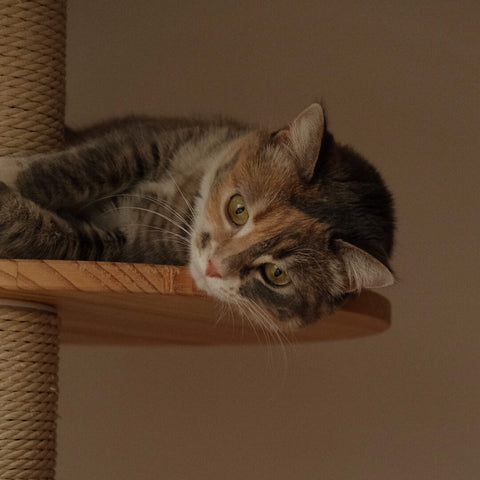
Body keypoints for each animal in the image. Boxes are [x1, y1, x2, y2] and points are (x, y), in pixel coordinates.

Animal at [0, 103, 394, 330]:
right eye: (238, 209)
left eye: (276, 274)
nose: (214, 267)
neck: (184, 199)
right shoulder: (155, 139)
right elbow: (85, 166)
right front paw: (12, 171)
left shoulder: (132, 242)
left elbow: (60, 236)